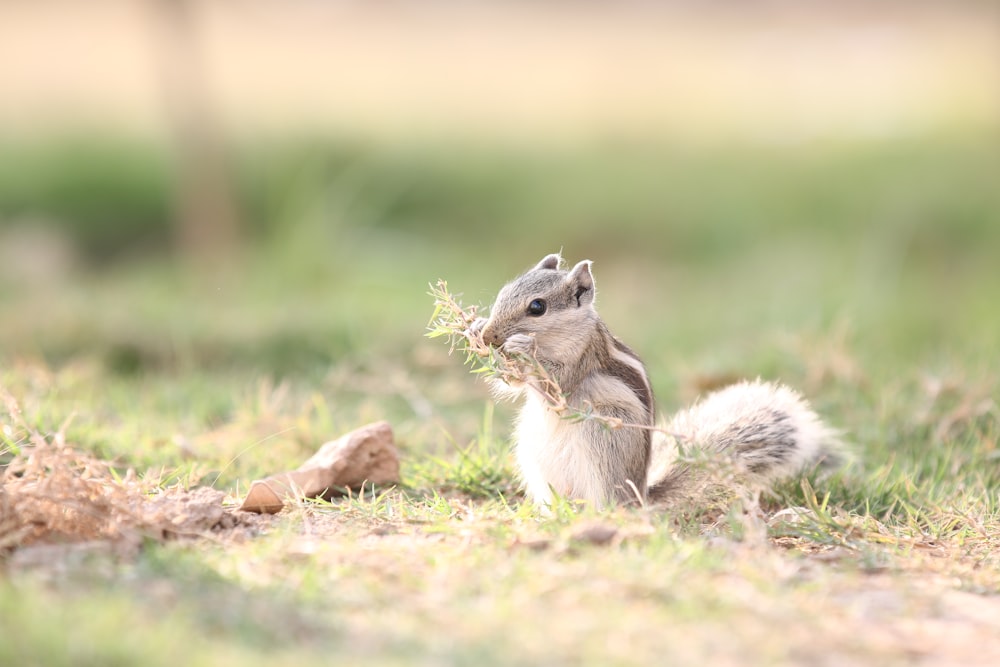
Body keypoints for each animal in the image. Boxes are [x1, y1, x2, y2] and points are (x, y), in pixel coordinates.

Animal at [472, 253, 840, 508]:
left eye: (537, 307)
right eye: (504, 292)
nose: (491, 335)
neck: (565, 332)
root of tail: (640, 497)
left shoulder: (582, 358)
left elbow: (557, 385)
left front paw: (523, 348)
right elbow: (513, 385)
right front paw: (475, 329)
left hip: (603, 438)